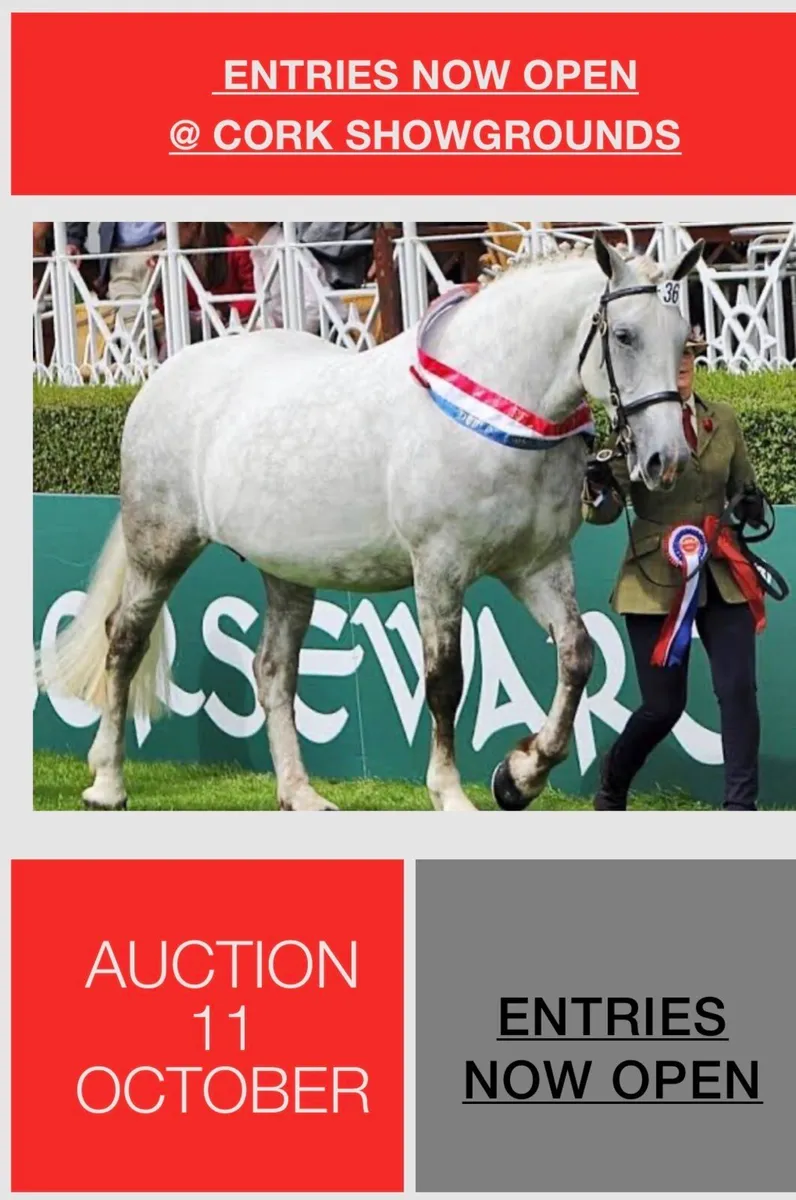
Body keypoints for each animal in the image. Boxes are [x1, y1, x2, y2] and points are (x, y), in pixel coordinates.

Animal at [42, 233, 703, 811]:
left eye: (685, 339)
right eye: (624, 335)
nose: (665, 459)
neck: (496, 408)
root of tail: (165, 375)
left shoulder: (537, 566)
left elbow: (577, 655)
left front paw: (521, 775)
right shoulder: (439, 568)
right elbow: (444, 680)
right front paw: (451, 794)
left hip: (287, 570)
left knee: (272, 672)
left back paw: (300, 795)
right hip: (159, 547)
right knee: (124, 643)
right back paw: (108, 783)